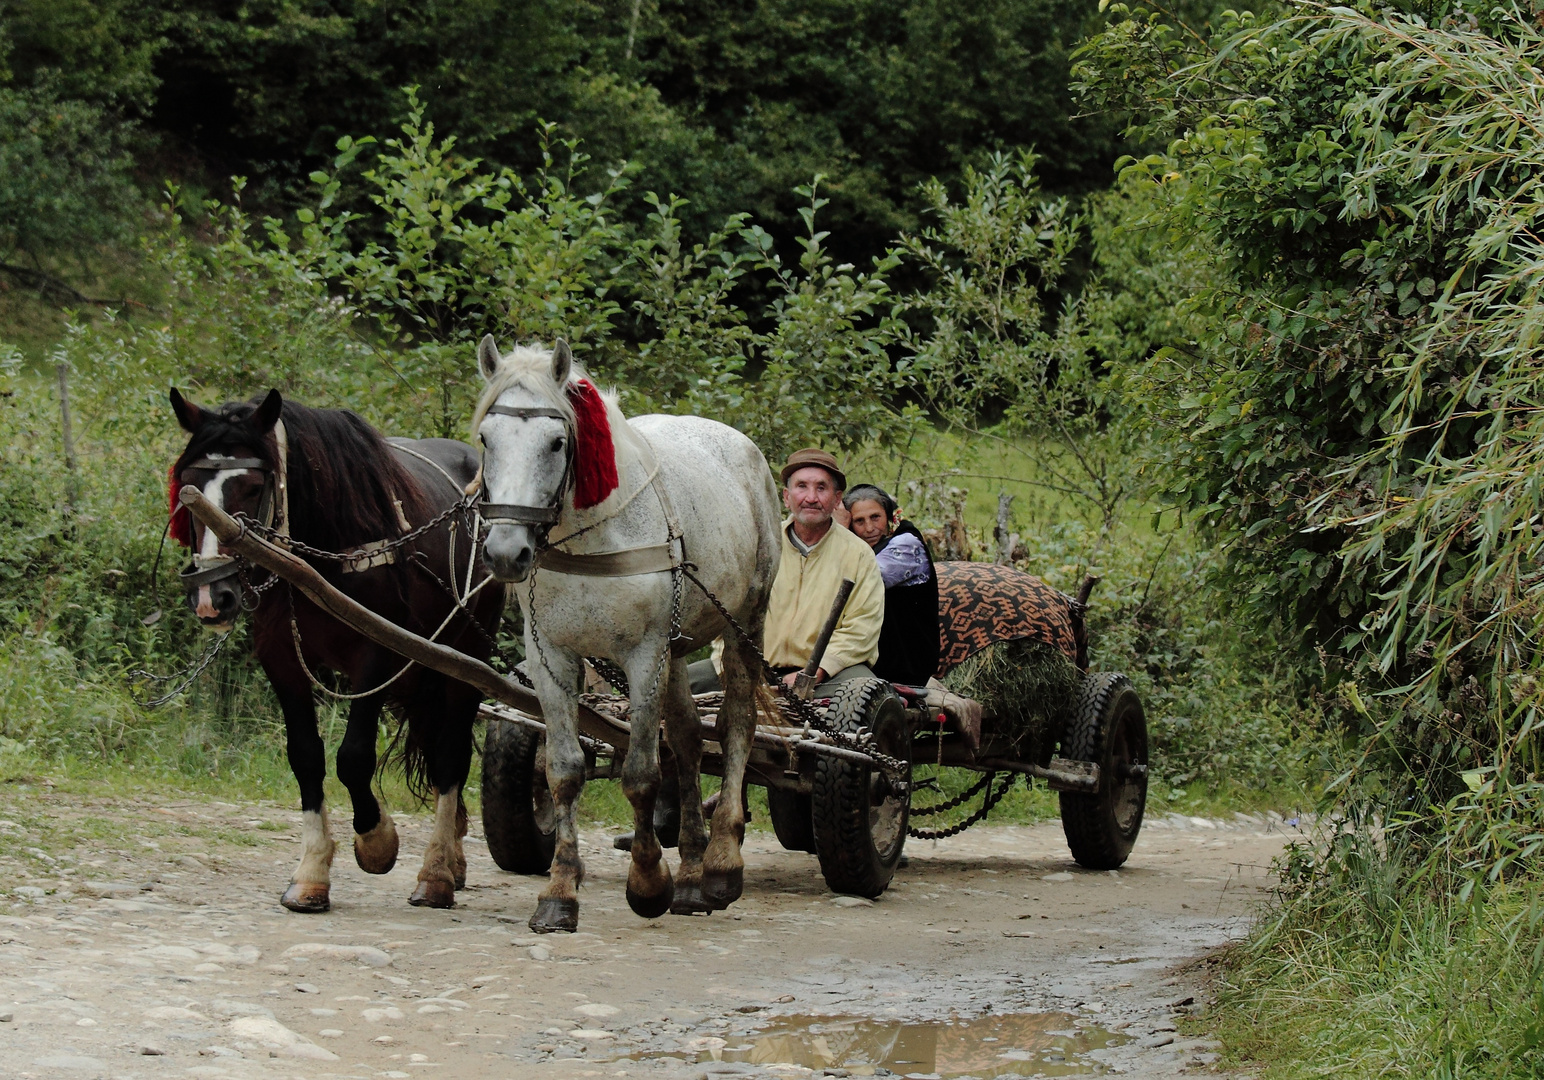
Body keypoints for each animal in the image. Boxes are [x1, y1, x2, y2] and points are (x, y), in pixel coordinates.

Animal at [169, 389, 506, 914]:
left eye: (253, 486)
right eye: (188, 484)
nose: (211, 596)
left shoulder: (377, 656)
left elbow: (353, 758)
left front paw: (377, 840)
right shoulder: (281, 657)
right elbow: (305, 756)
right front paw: (311, 874)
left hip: (467, 658)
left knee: (451, 757)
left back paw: (435, 873)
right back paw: (453, 859)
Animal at [472, 335, 784, 927]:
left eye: (556, 443)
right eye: (484, 438)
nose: (504, 553)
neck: (592, 539)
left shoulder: (644, 656)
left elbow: (640, 772)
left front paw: (647, 882)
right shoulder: (549, 656)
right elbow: (565, 771)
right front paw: (560, 891)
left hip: (745, 625)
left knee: (735, 725)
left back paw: (720, 862)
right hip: (679, 647)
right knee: (687, 737)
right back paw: (691, 872)